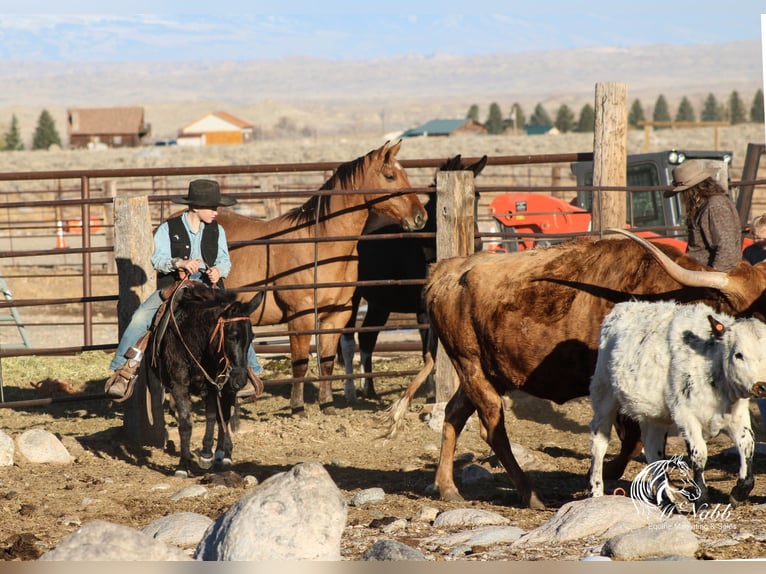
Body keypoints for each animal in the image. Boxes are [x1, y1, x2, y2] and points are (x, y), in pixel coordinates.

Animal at [152, 282, 266, 476]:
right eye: (232, 336)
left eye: (252, 337)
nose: (241, 380)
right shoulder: (179, 385)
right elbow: (185, 423)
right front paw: (183, 465)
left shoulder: (214, 386)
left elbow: (214, 417)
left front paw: (208, 454)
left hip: (225, 388)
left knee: (224, 417)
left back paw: (223, 455)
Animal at [218, 142, 426, 416]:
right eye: (390, 176)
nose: (420, 217)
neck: (319, 244)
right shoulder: (300, 316)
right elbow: (300, 363)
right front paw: (297, 407)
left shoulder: (336, 315)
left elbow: (326, 361)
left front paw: (327, 404)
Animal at [592, 302, 766, 508]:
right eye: (739, 354)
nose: (761, 386)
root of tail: (621, 307)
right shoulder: (686, 416)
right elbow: (699, 454)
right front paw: (702, 499)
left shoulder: (737, 415)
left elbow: (748, 444)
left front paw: (739, 493)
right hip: (604, 395)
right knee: (599, 442)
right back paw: (596, 492)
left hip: (654, 415)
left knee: (653, 449)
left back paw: (669, 497)